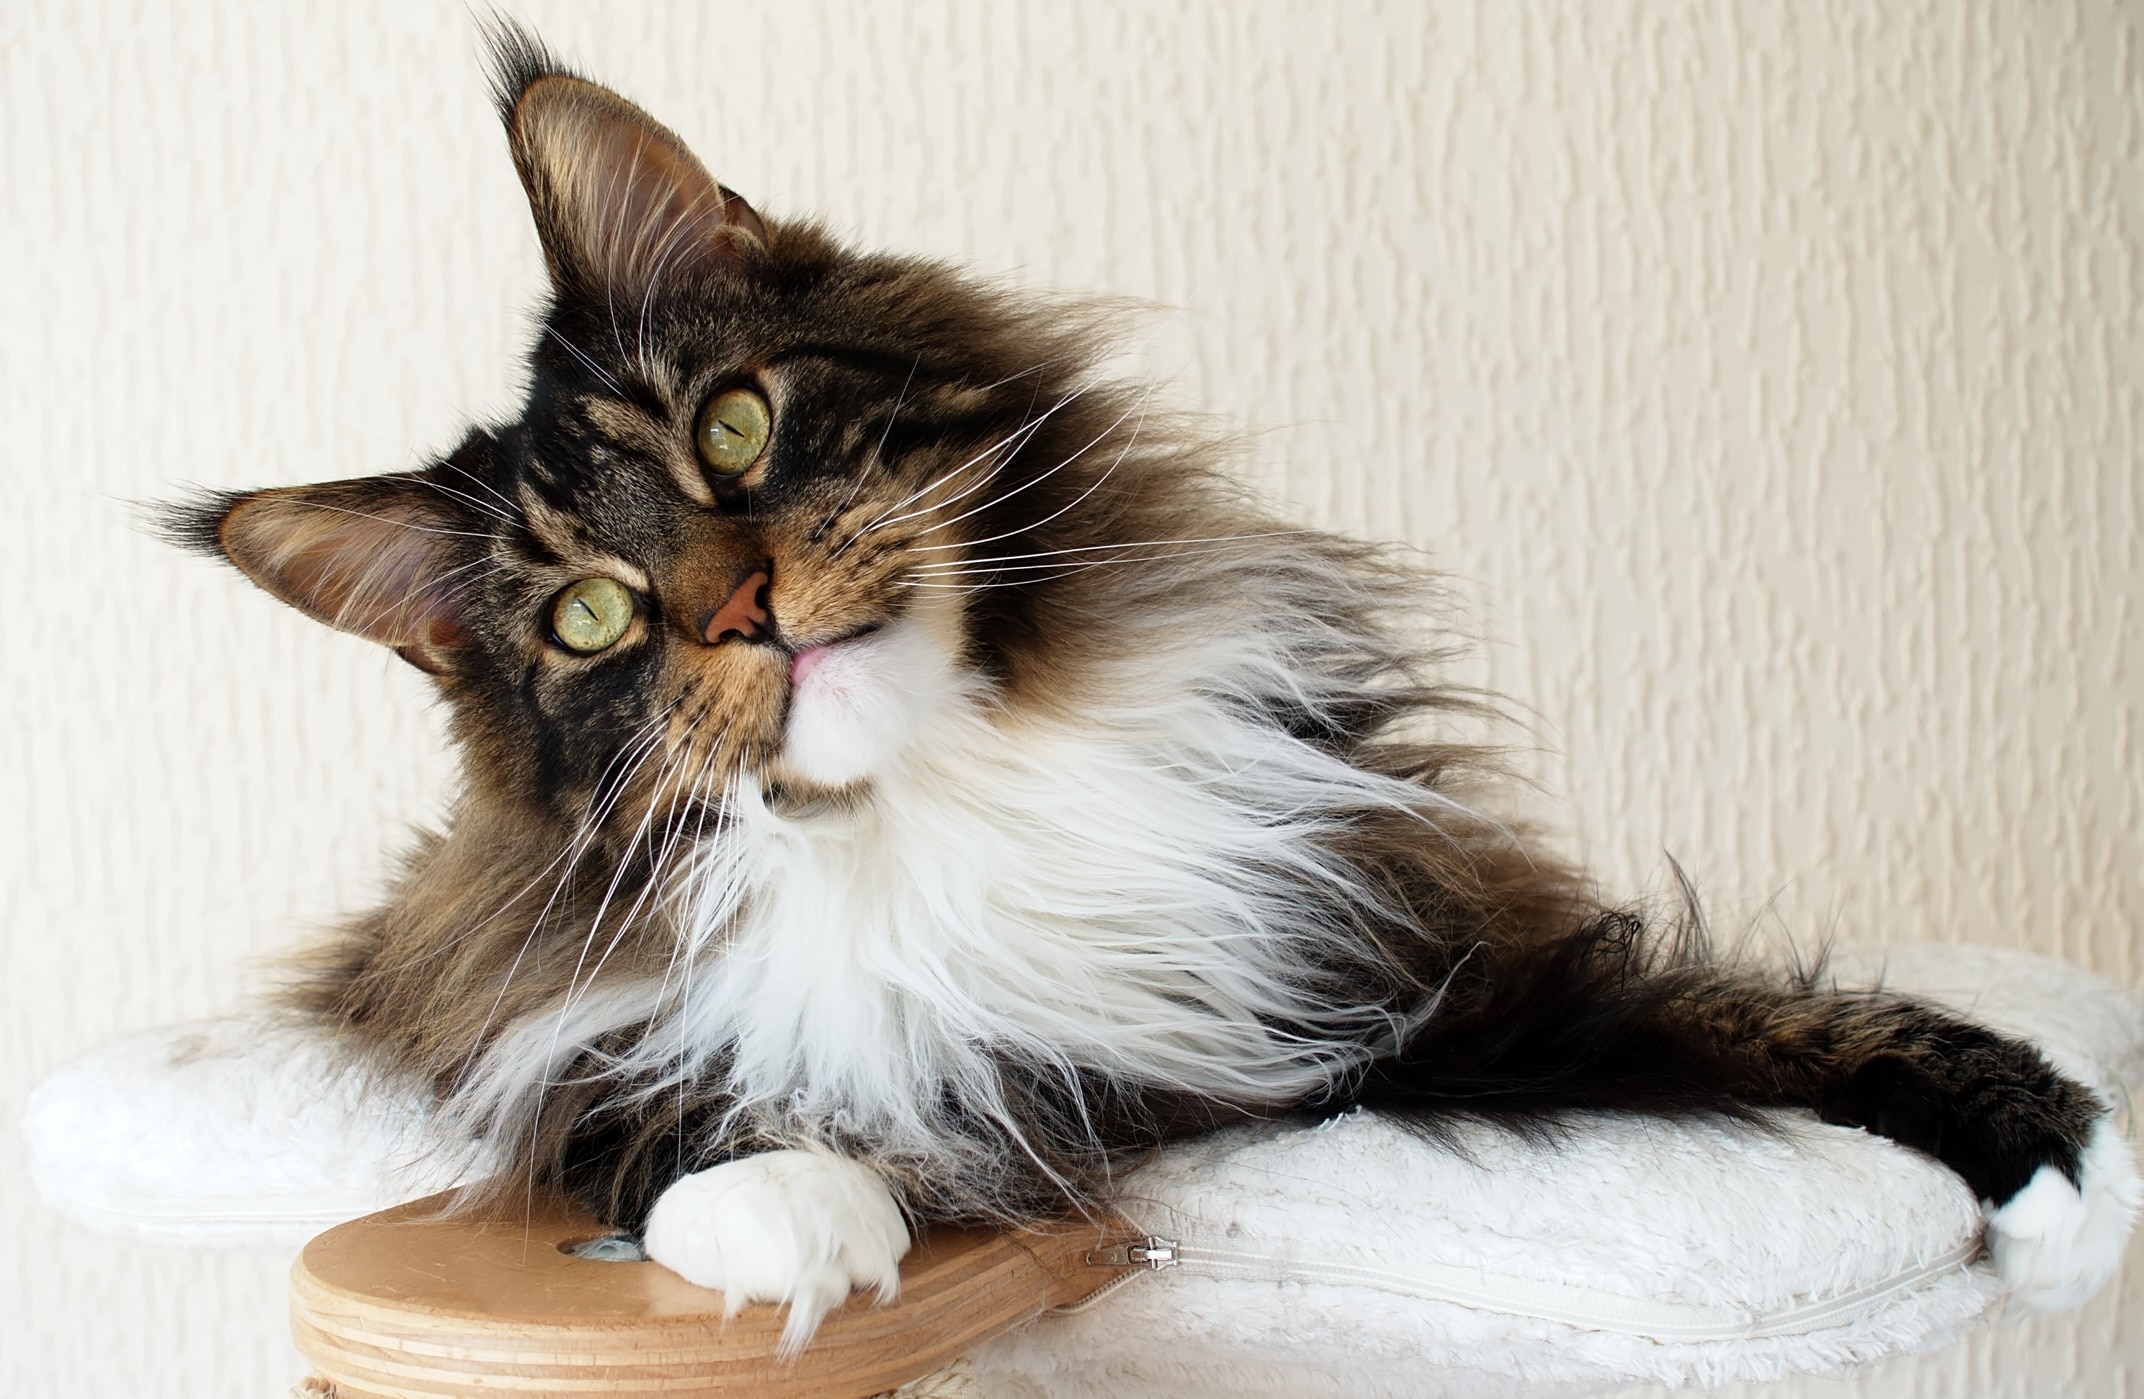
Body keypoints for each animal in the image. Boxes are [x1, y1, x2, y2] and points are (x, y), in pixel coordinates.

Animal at [162, 21, 2126, 1345]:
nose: (739, 611)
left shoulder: (1389, 965)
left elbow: (1772, 1014)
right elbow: (636, 1111)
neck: (957, 786)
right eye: (587, 618)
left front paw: (2060, 1170)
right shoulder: (511, 1009)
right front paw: (796, 1207)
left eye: (729, 429)